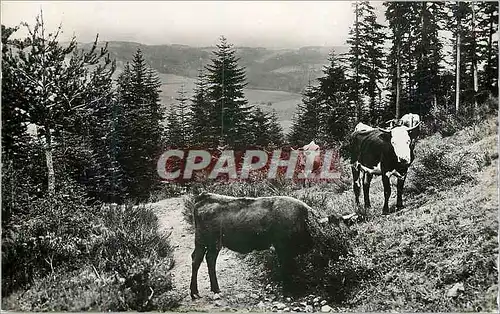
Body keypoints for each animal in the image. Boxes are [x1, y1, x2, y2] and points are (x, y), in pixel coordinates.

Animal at [189, 191, 354, 300]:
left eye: (346, 227)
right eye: (331, 229)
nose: (344, 243)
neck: (303, 218)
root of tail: (204, 197)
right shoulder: (282, 248)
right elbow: (286, 268)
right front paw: (289, 290)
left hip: (204, 244)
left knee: (201, 260)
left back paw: (205, 290)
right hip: (210, 242)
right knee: (202, 260)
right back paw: (203, 292)